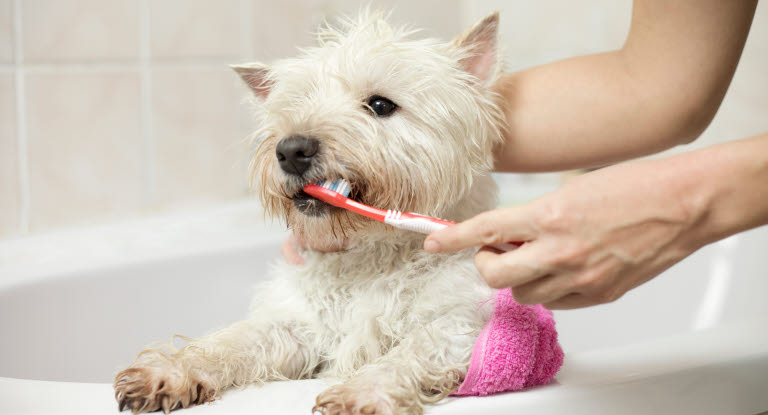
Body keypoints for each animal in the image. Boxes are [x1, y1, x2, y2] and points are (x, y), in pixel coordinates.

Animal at [114, 10, 508, 415]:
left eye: (380, 105)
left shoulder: (457, 323)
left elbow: (410, 352)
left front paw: (360, 393)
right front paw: (168, 370)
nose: (291, 150)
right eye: (295, 106)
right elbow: (233, 340)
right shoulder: (297, 326)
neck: (371, 255)